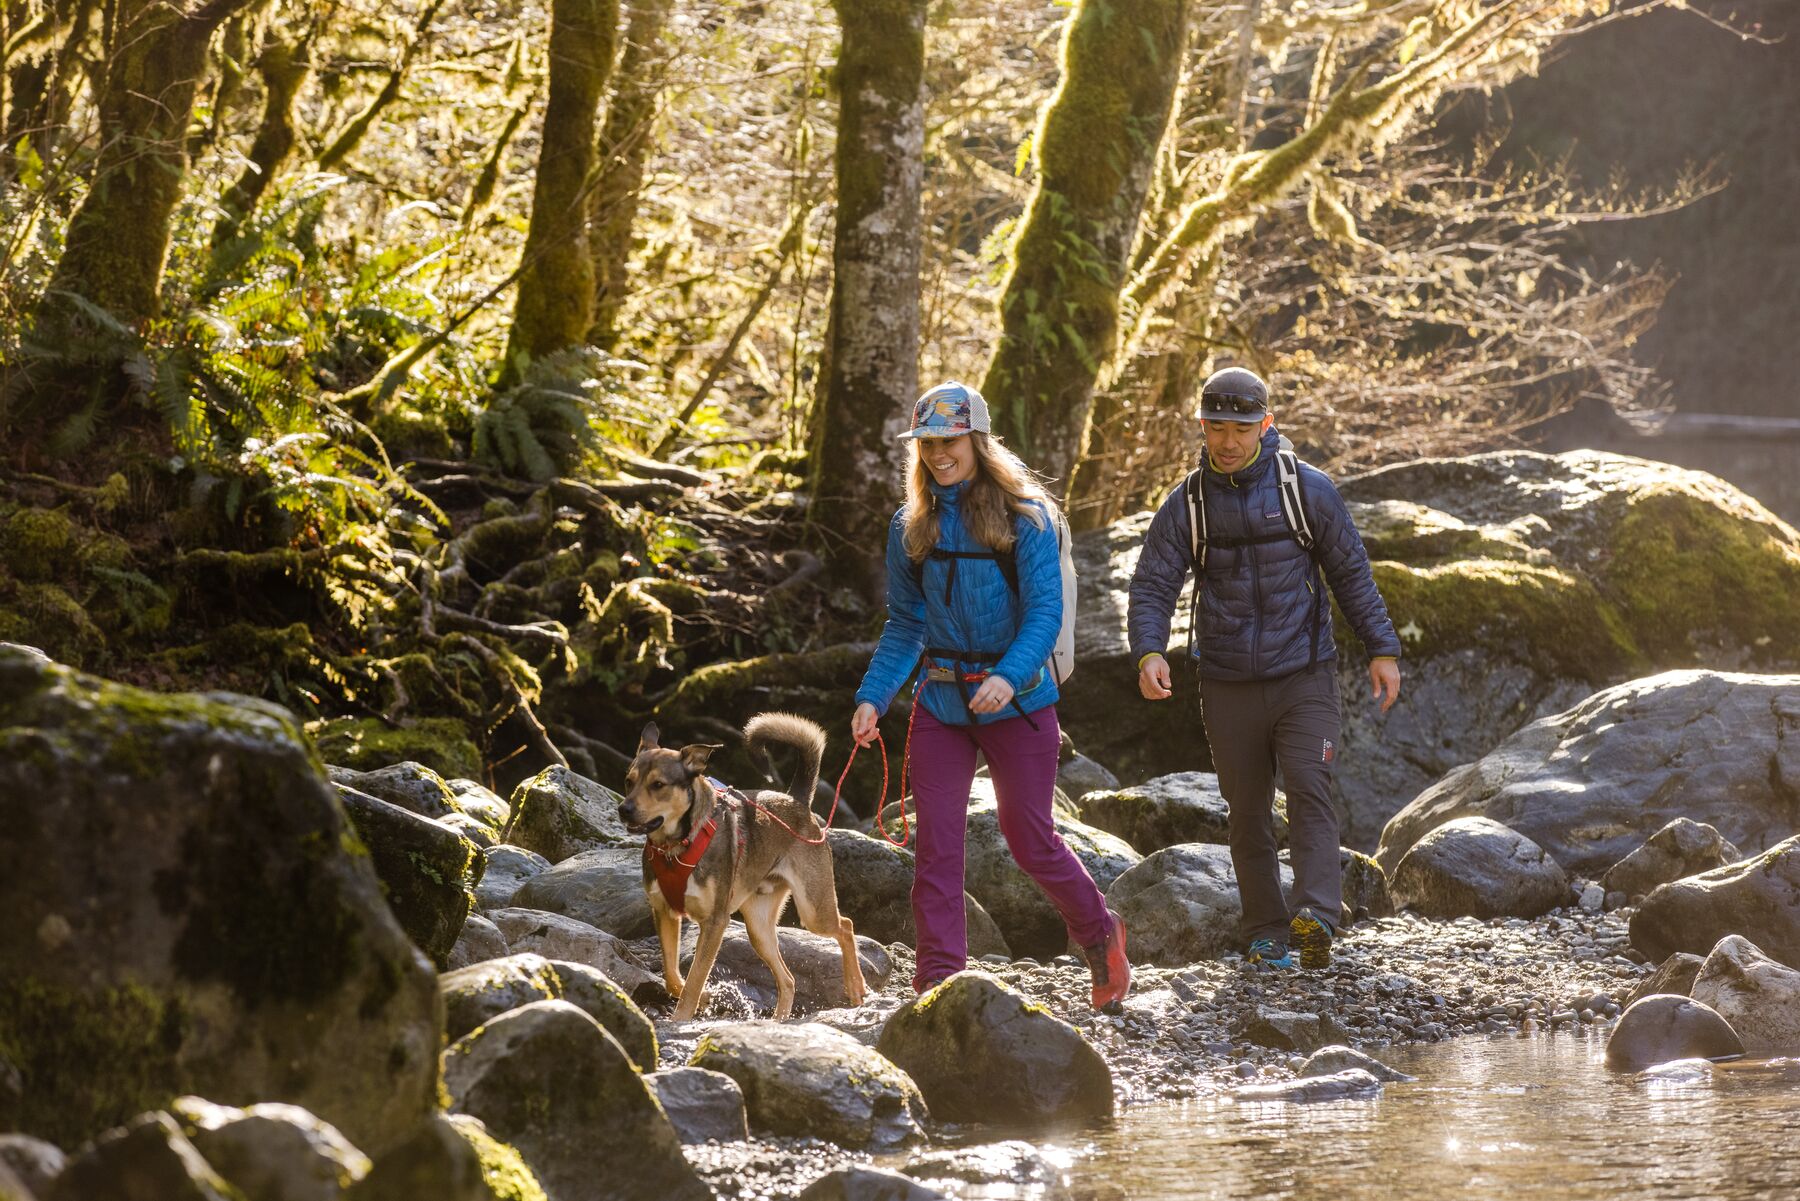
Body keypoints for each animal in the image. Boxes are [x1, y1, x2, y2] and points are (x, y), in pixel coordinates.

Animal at [622, 713, 867, 1022]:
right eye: (628, 781)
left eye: (658, 785)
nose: (623, 810)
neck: (675, 847)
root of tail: (796, 801)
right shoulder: (665, 913)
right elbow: (673, 977)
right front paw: (704, 998)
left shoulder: (715, 922)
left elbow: (694, 979)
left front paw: (682, 1018)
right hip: (759, 929)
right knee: (788, 980)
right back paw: (778, 1021)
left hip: (813, 909)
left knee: (845, 927)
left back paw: (855, 986)